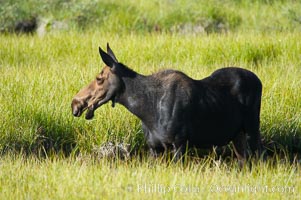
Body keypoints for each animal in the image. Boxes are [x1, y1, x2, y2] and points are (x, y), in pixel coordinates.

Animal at [72, 44, 262, 166]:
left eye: (99, 78)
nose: (75, 103)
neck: (145, 110)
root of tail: (259, 80)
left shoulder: (179, 143)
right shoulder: (154, 148)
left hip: (252, 129)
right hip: (237, 135)